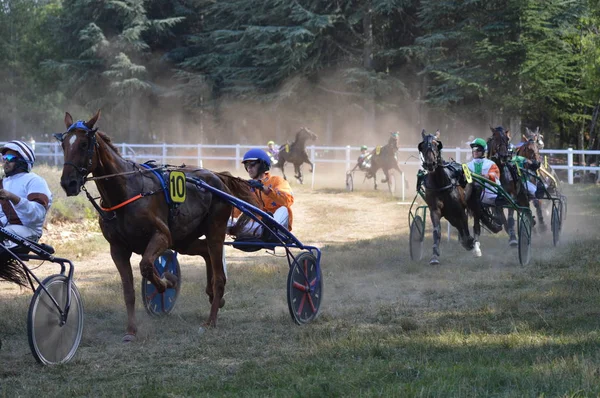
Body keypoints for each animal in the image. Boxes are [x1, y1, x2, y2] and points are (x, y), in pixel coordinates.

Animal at [55, 109, 260, 342]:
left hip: (214, 230)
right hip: (185, 240)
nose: (68, 183)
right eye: (63, 145)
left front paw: (167, 282)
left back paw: (211, 319)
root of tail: (217, 177)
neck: (126, 192)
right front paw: (131, 331)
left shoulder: (162, 236)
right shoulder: (117, 248)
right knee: (205, 252)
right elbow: (128, 291)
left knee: (219, 274)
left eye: (83, 144)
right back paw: (213, 295)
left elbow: (146, 266)